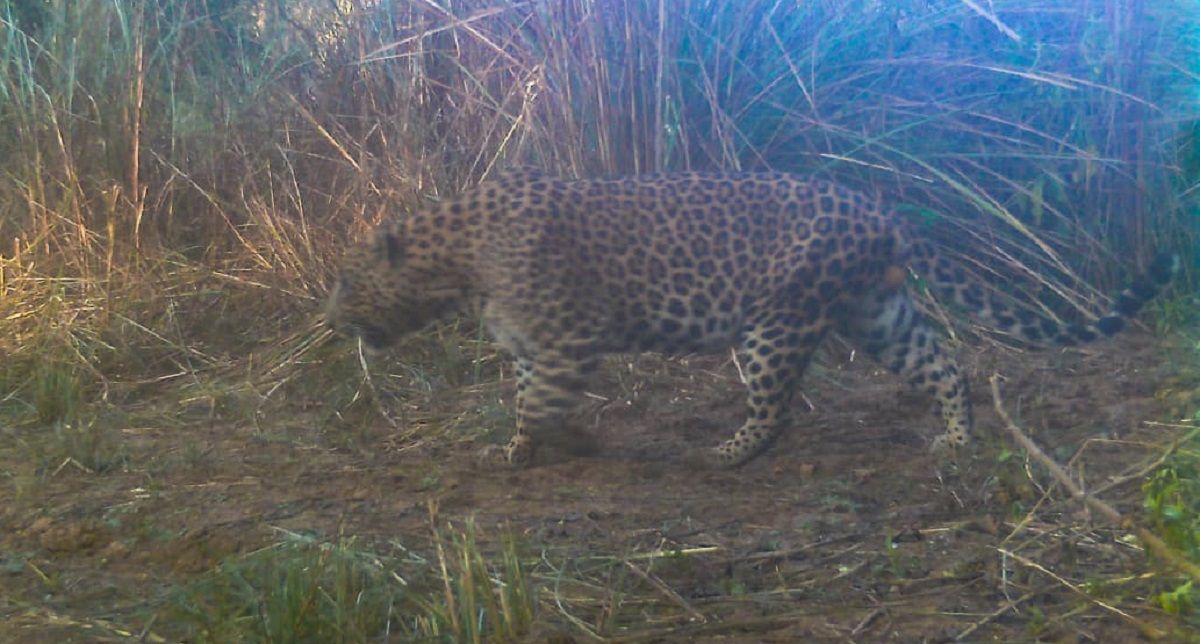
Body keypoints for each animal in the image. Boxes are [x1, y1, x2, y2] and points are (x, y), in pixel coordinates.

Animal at [324, 170, 1178, 469]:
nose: (330, 319)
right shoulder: (539, 349)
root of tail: (879, 211)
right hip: (875, 312)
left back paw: (725, 454)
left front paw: (517, 453)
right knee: (944, 363)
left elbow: (534, 405)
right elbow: (539, 400)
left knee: (778, 409)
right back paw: (959, 440)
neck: (456, 263)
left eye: (346, 281)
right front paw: (567, 443)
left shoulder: (564, 343)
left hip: (772, 324)